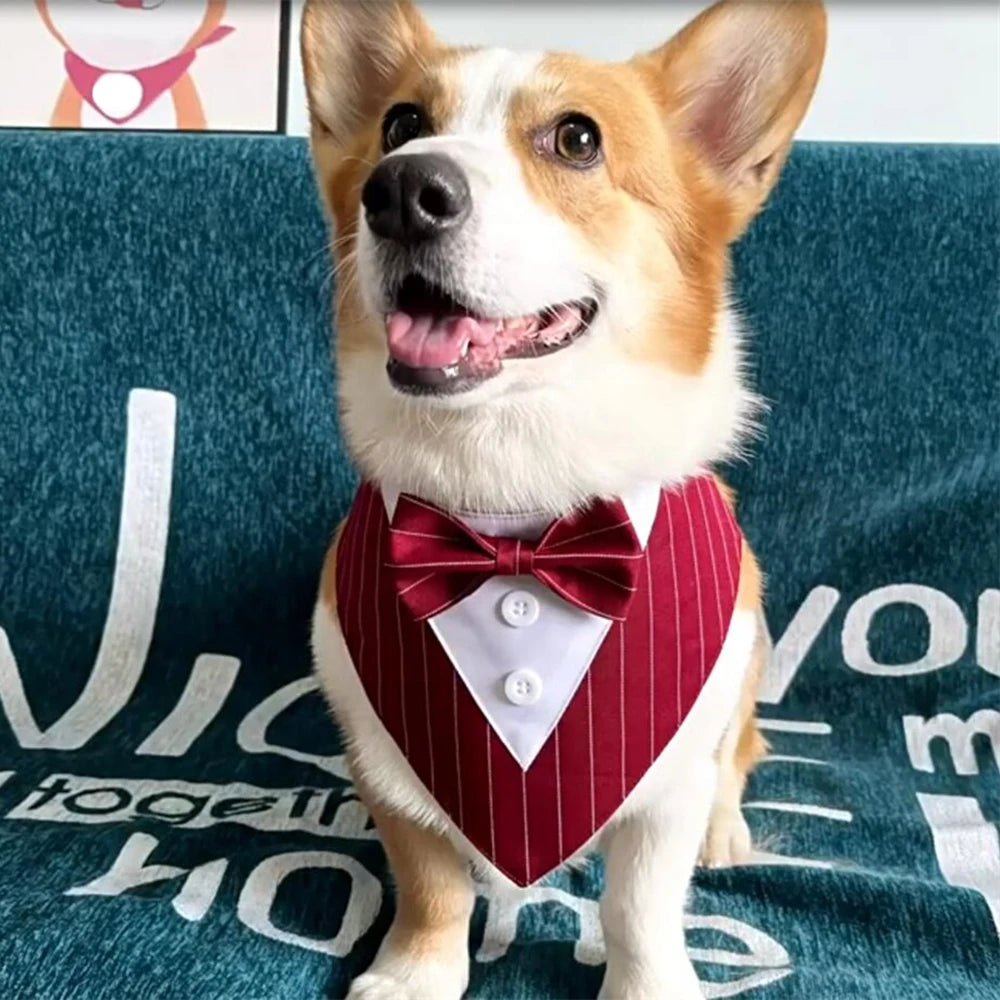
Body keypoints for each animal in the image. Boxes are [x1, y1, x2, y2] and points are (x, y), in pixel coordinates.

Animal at [306, 3, 828, 996]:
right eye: (400, 125)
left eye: (577, 139)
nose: (402, 189)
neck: (515, 512)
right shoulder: (389, 757)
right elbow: (430, 881)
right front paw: (414, 974)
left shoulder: (667, 779)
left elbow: (640, 904)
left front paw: (650, 982)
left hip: (746, 662)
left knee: (737, 756)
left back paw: (727, 829)